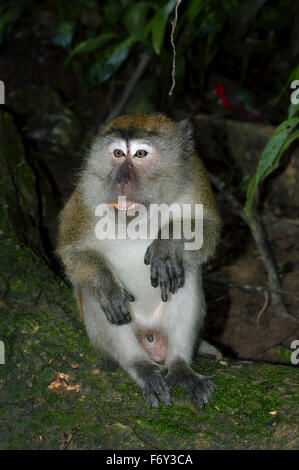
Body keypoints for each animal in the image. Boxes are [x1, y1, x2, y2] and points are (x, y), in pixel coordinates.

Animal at [57, 113, 220, 408]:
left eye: (141, 154)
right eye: (118, 154)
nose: (121, 179)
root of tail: (151, 336)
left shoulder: (195, 176)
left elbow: (208, 233)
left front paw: (167, 242)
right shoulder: (87, 190)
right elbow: (73, 252)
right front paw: (107, 286)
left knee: (183, 271)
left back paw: (180, 365)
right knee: (94, 293)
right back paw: (141, 366)